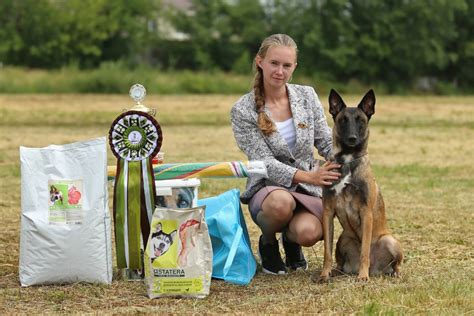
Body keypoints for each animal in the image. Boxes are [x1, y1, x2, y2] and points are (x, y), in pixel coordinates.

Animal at [318, 89, 404, 282]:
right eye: (343, 120)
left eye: (361, 120)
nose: (352, 138)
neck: (348, 160)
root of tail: (377, 269)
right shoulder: (327, 211)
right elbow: (327, 251)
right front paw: (324, 274)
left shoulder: (366, 213)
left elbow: (365, 249)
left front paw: (362, 277)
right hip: (343, 239)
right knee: (340, 262)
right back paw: (337, 271)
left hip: (390, 241)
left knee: (396, 264)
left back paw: (390, 274)